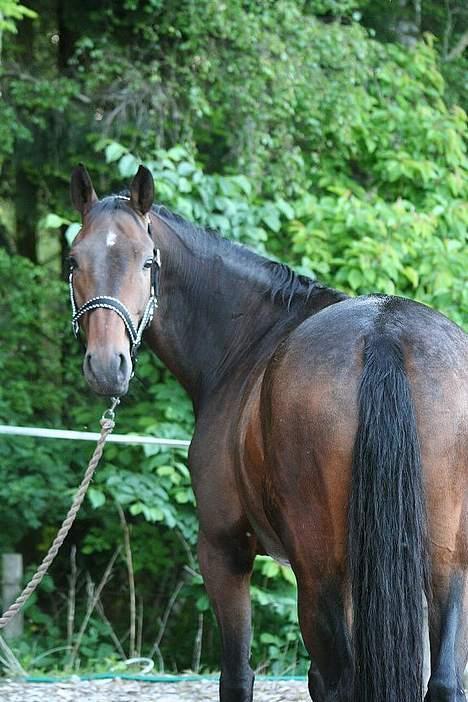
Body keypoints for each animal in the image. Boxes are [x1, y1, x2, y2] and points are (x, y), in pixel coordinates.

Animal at [68, 166, 468, 702]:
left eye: (147, 260)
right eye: (74, 260)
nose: (107, 366)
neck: (248, 341)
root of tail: (385, 333)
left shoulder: (224, 549)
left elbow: (238, 677)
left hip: (320, 573)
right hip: (445, 565)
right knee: (442, 682)